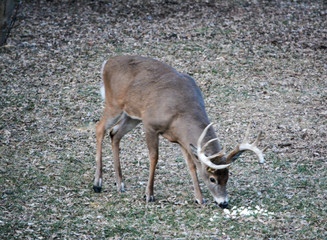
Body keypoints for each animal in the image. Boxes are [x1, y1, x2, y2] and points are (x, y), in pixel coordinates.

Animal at [93, 55, 266, 208]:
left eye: (227, 177)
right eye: (212, 179)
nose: (223, 203)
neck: (181, 112)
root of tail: (107, 63)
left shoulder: (182, 140)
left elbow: (191, 165)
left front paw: (199, 198)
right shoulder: (150, 124)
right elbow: (154, 158)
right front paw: (149, 194)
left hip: (132, 116)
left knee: (114, 133)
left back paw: (120, 184)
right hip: (114, 103)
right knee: (100, 128)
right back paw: (97, 183)